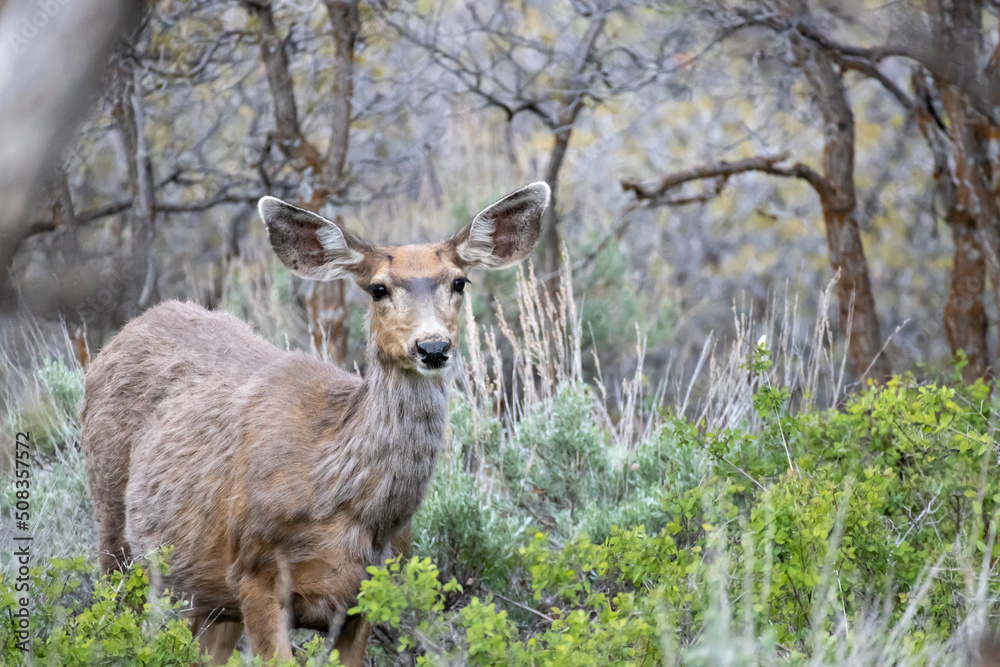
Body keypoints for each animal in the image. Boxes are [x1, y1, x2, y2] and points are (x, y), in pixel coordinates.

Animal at [80, 182, 550, 665]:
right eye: (378, 288)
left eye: (459, 281)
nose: (433, 346)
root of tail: (125, 331)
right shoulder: (255, 571)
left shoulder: (369, 592)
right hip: (115, 525)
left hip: (209, 596)